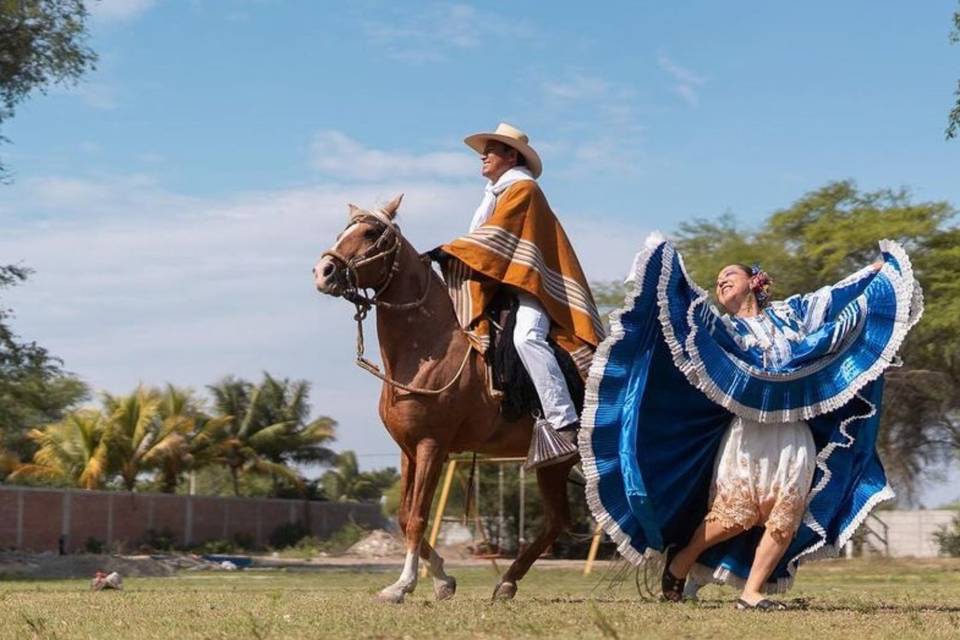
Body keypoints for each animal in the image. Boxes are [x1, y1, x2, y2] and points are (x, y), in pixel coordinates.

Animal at [316, 194, 580, 600]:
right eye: (343, 231)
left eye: (372, 233)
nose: (323, 271)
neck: (427, 349)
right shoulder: (408, 450)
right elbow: (404, 516)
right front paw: (442, 579)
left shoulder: (432, 446)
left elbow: (418, 517)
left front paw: (403, 585)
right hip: (555, 464)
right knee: (557, 522)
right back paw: (506, 582)